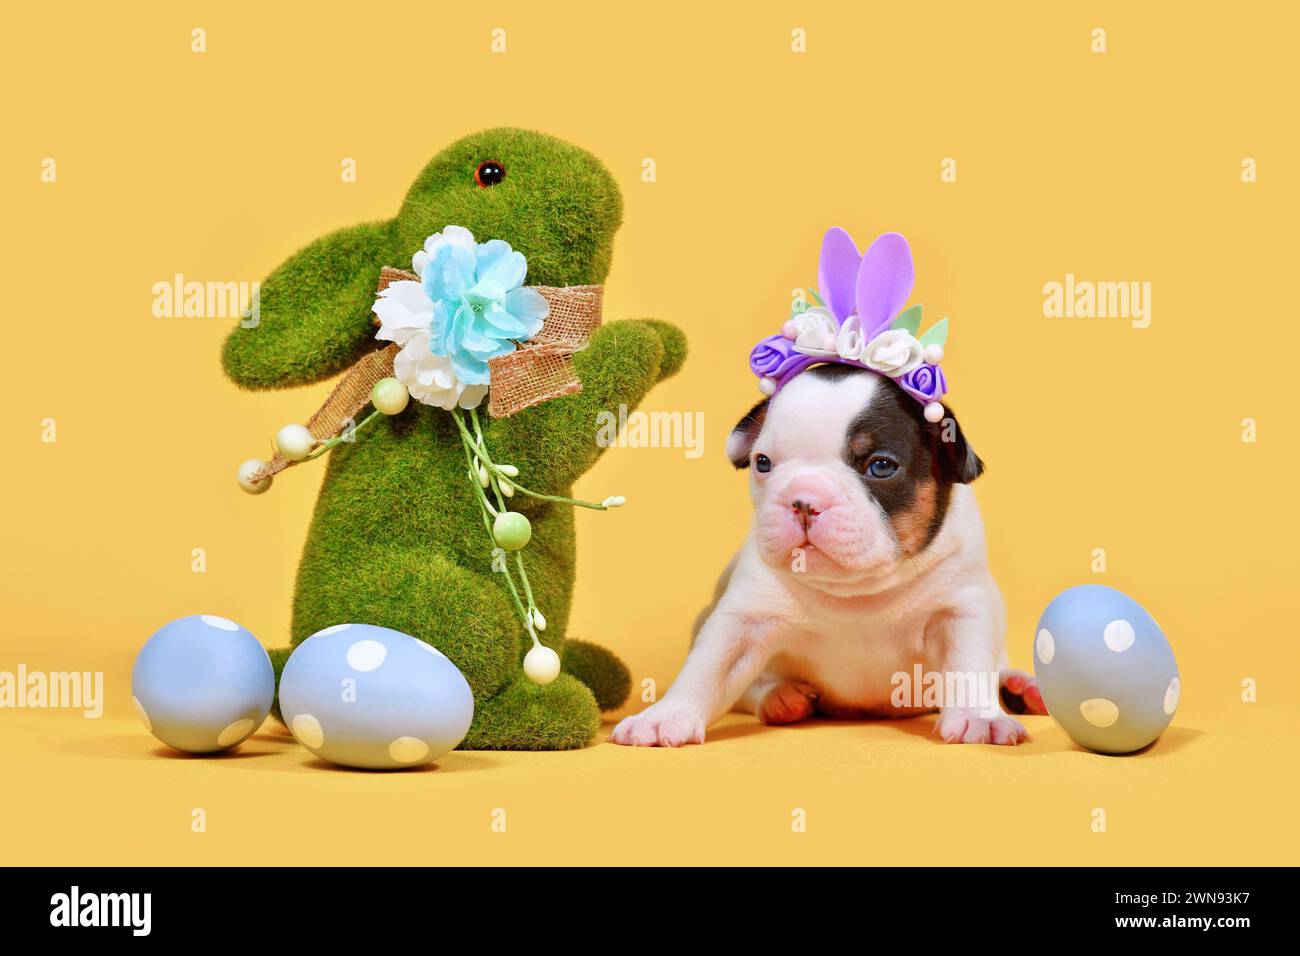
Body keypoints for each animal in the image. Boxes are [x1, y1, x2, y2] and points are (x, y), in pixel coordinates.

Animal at [613, 364, 1050, 749]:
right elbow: (709, 666)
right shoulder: (743, 618)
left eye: (880, 466)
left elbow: (969, 664)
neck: (857, 591)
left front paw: (981, 717)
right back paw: (780, 697)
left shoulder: (960, 609)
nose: (804, 500)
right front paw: (665, 716)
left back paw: (1023, 687)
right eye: (763, 463)